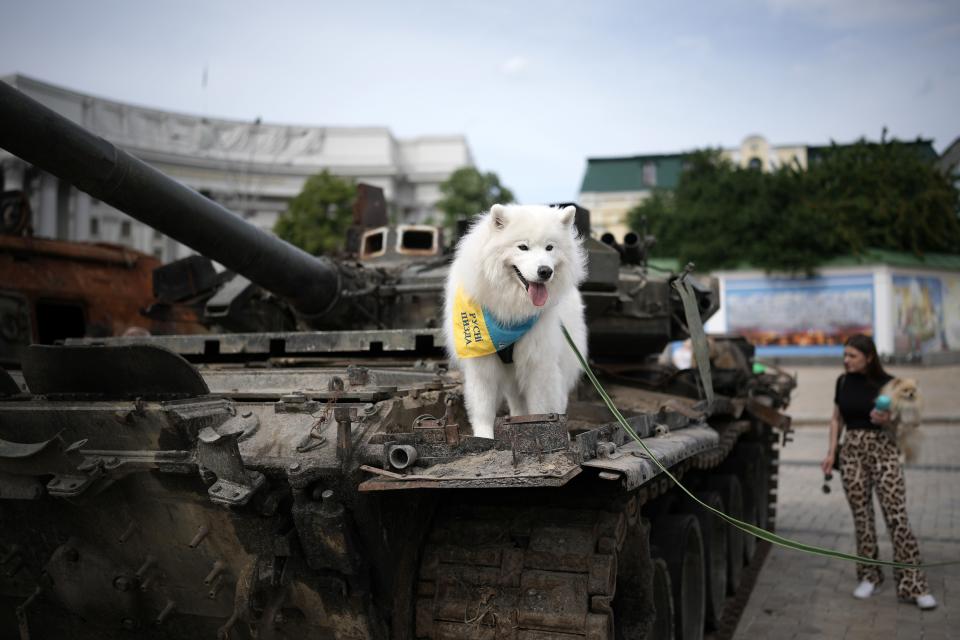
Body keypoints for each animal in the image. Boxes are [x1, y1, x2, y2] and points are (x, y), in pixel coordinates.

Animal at [444, 205, 592, 440]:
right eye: (523, 247)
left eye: (550, 247)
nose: (545, 271)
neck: (511, 312)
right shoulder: (481, 361)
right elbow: (483, 409)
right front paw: (483, 438)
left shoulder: (538, 364)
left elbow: (541, 409)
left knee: (557, 401)